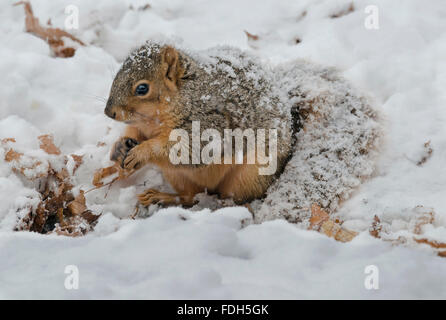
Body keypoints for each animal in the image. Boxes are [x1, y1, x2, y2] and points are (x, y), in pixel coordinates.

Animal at [104, 42, 380, 212]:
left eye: (142, 88)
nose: (109, 112)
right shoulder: (142, 127)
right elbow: (133, 134)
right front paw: (119, 149)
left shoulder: (209, 123)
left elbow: (189, 150)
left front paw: (142, 152)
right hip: (177, 176)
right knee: (189, 196)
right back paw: (163, 196)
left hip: (250, 174)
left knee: (229, 197)